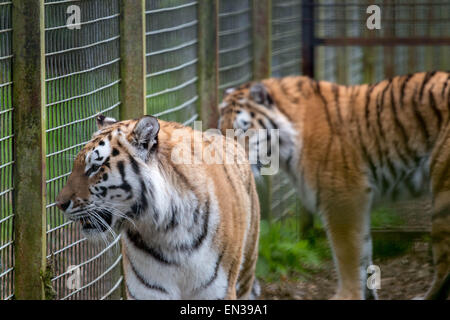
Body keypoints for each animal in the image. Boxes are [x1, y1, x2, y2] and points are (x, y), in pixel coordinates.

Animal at [218, 70, 450, 300]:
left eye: (243, 130)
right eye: (221, 129)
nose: (230, 159)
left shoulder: (343, 200)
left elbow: (348, 257)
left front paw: (346, 296)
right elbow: (364, 253)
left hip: (442, 197)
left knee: (444, 264)